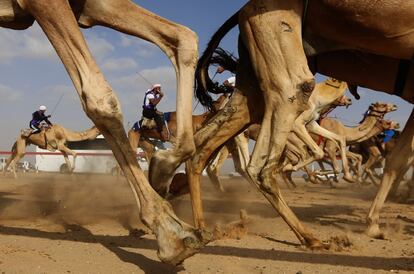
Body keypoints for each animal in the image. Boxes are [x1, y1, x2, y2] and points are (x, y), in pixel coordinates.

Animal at [0, 0, 210, 266]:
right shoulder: (41, 3)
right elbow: (99, 98)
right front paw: (172, 234)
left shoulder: (89, 7)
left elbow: (183, 36)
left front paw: (163, 169)